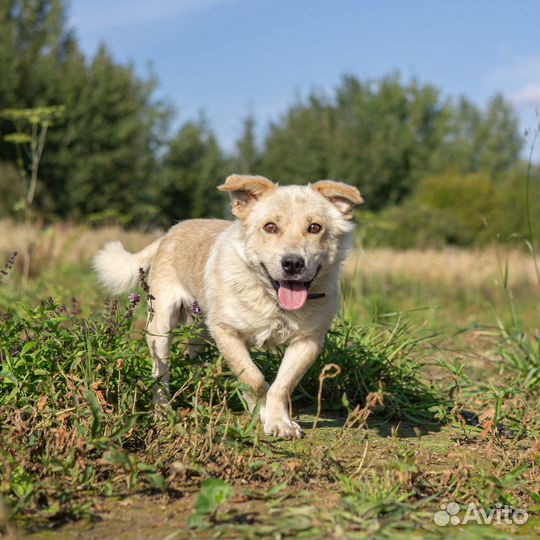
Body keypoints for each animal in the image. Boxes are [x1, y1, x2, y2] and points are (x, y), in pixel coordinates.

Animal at [94, 176, 362, 438]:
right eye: (270, 227)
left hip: (202, 331)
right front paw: (260, 411)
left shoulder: (308, 341)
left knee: (194, 357)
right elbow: (253, 378)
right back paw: (162, 412)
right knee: (160, 374)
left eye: (315, 227)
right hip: (160, 328)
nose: (293, 263)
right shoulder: (226, 332)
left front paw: (278, 420)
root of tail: (171, 232)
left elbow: (282, 385)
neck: (272, 300)